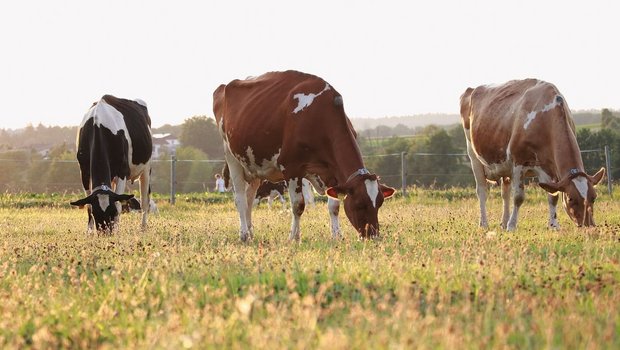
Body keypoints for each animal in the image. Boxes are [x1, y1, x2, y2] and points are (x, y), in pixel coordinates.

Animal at [69, 94, 152, 234]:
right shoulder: (84, 171)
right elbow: (88, 205)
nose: (105, 233)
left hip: (146, 168)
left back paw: (143, 228)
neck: (98, 125)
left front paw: (116, 231)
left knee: (145, 201)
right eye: (96, 214)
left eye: (112, 212)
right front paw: (89, 232)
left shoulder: (122, 171)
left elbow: (118, 203)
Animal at [216, 70, 394, 242]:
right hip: (232, 158)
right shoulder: (291, 167)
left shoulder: (332, 172)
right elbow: (298, 205)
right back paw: (244, 234)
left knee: (249, 199)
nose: (373, 236)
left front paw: (336, 236)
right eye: (359, 204)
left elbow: (334, 207)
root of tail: (225, 86)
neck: (319, 117)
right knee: (240, 199)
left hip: (254, 166)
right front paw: (294, 237)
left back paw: (251, 233)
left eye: (379, 204)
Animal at [460, 80, 604, 231]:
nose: (589, 226)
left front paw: (554, 225)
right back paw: (484, 223)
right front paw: (512, 226)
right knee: (482, 191)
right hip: (474, 157)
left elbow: (553, 196)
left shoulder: (548, 168)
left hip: (504, 165)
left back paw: (504, 222)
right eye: (571, 198)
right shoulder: (518, 162)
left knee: (505, 193)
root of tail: (472, 89)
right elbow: (518, 197)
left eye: (594, 197)